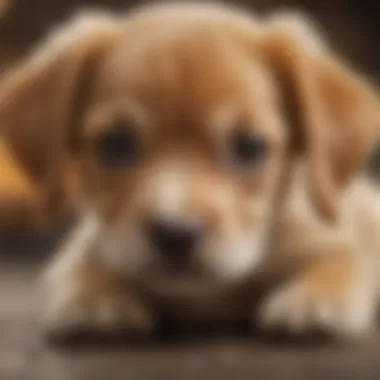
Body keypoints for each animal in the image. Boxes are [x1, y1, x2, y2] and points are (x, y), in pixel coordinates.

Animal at [0, 2, 380, 342]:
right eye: (115, 143)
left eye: (250, 145)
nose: (175, 233)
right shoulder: (90, 244)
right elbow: (81, 267)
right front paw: (93, 299)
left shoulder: (334, 239)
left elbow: (342, 260)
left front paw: (315, 299)